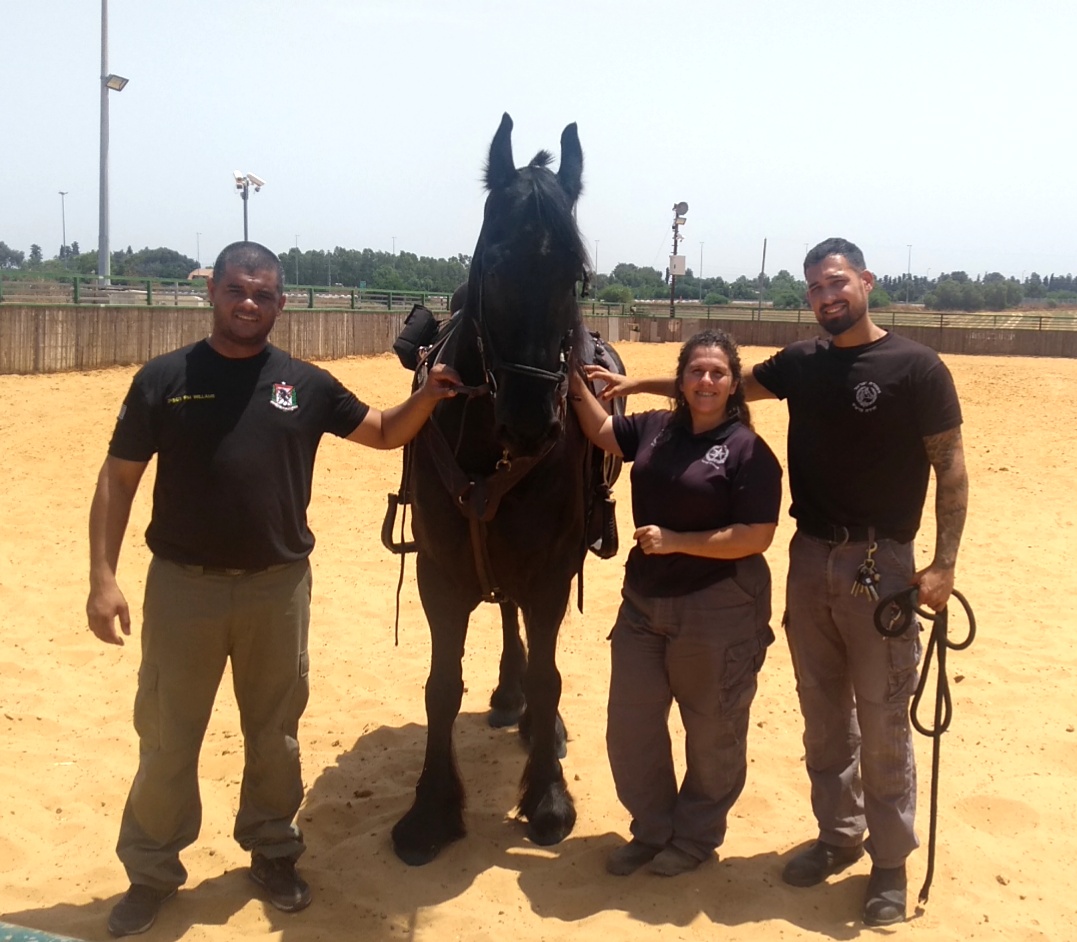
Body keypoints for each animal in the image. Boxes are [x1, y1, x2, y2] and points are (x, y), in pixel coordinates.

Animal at [394, 114, 616, 865]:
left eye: (576, 275)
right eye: (493, 264)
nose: (530, 419)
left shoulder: (551, 567)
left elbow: (550, 676)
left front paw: (547, 797)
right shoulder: (439, 571)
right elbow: (439, 686)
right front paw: (431, 810)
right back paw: (507, 697)